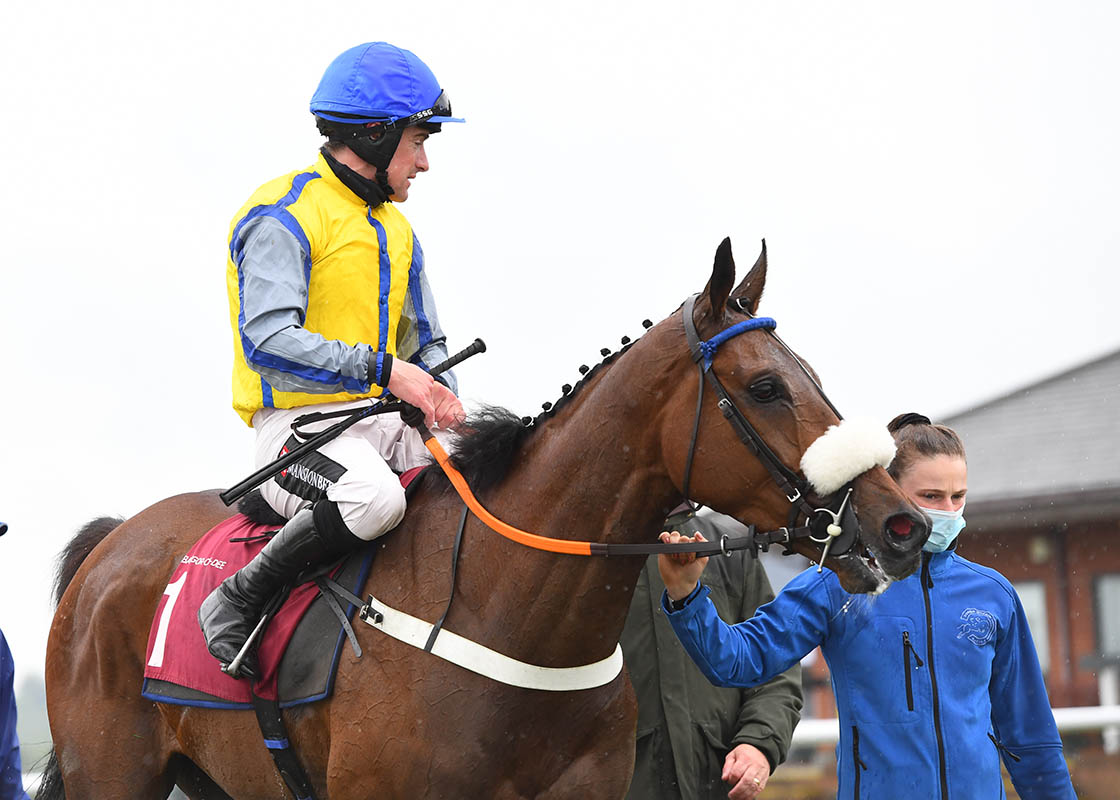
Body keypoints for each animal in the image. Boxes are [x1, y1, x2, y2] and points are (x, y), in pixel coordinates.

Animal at [42, 239, 928, 799]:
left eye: (812, 375)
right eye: (766, 388)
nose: (901, 525)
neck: (505, 610)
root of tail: (109, 543)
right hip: (112, 774)